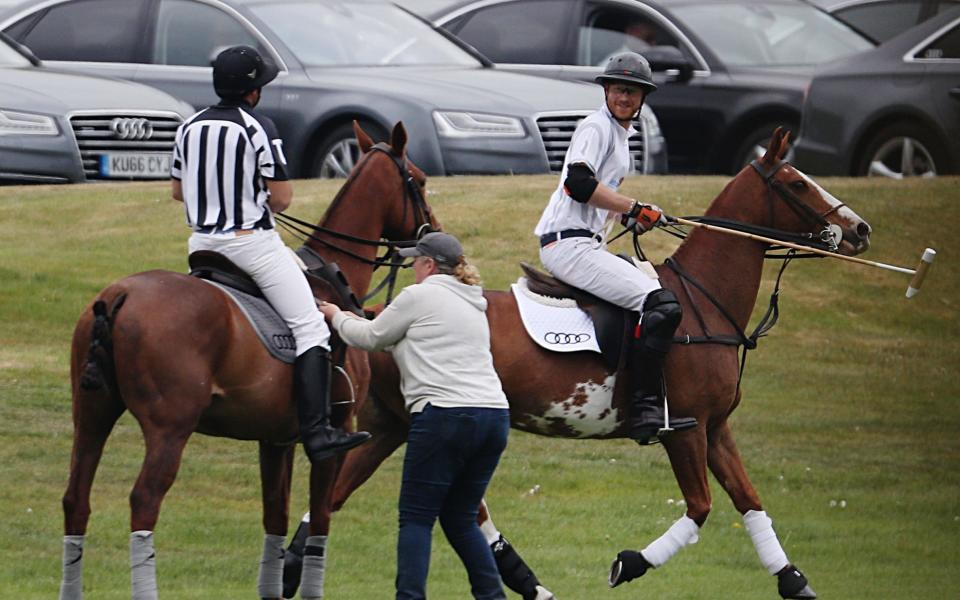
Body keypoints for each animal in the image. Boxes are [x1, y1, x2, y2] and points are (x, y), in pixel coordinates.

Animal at [60, 122, 436, 600]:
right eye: (419, 181)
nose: (434, 232)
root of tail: (118, 295)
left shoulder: (275, 439)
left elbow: (275, 518)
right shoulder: (337, 433)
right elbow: (320, 520)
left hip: (92, 414)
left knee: (76, 499)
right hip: (170, 428)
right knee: (144, 501)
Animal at [322, 129, 872, 596]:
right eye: (797, 183)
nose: (861, 229)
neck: (703, 301)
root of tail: (380, 314)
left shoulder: (715, 428)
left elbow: (750, 500)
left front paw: (794, 581)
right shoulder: (685, 428)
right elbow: (700, 507)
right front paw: (628, 563)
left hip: (393, 424)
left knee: (337, 498)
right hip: (440, 420)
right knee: (458, 508)